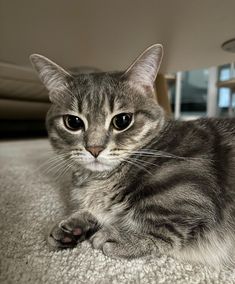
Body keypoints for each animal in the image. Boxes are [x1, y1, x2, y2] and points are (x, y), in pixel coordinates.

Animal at [30, 45, 235, 268]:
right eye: (73, 122)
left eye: (122, 120)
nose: (94, 148)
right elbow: (96, 210)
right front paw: (73, 226)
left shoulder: (191, 198)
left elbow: (161, 228)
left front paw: (120, 236)